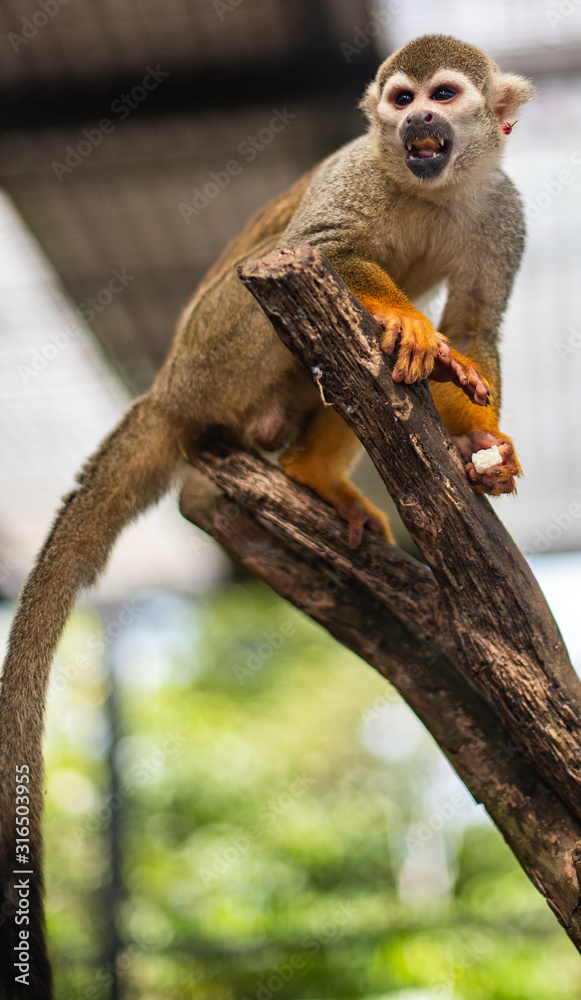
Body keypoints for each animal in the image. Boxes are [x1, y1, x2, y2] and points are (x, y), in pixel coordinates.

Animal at [0, 35, 534, 997]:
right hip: (213, 356)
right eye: (399, 100)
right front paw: (408, 326)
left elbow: (475, 328)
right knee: (292, 290)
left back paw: (313, 472)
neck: (431, 183)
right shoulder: (356, 172)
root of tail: (162, 393)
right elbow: (320, 251)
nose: (415, 123)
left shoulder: (502, 210)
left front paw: (486, 446)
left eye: (442, 96)